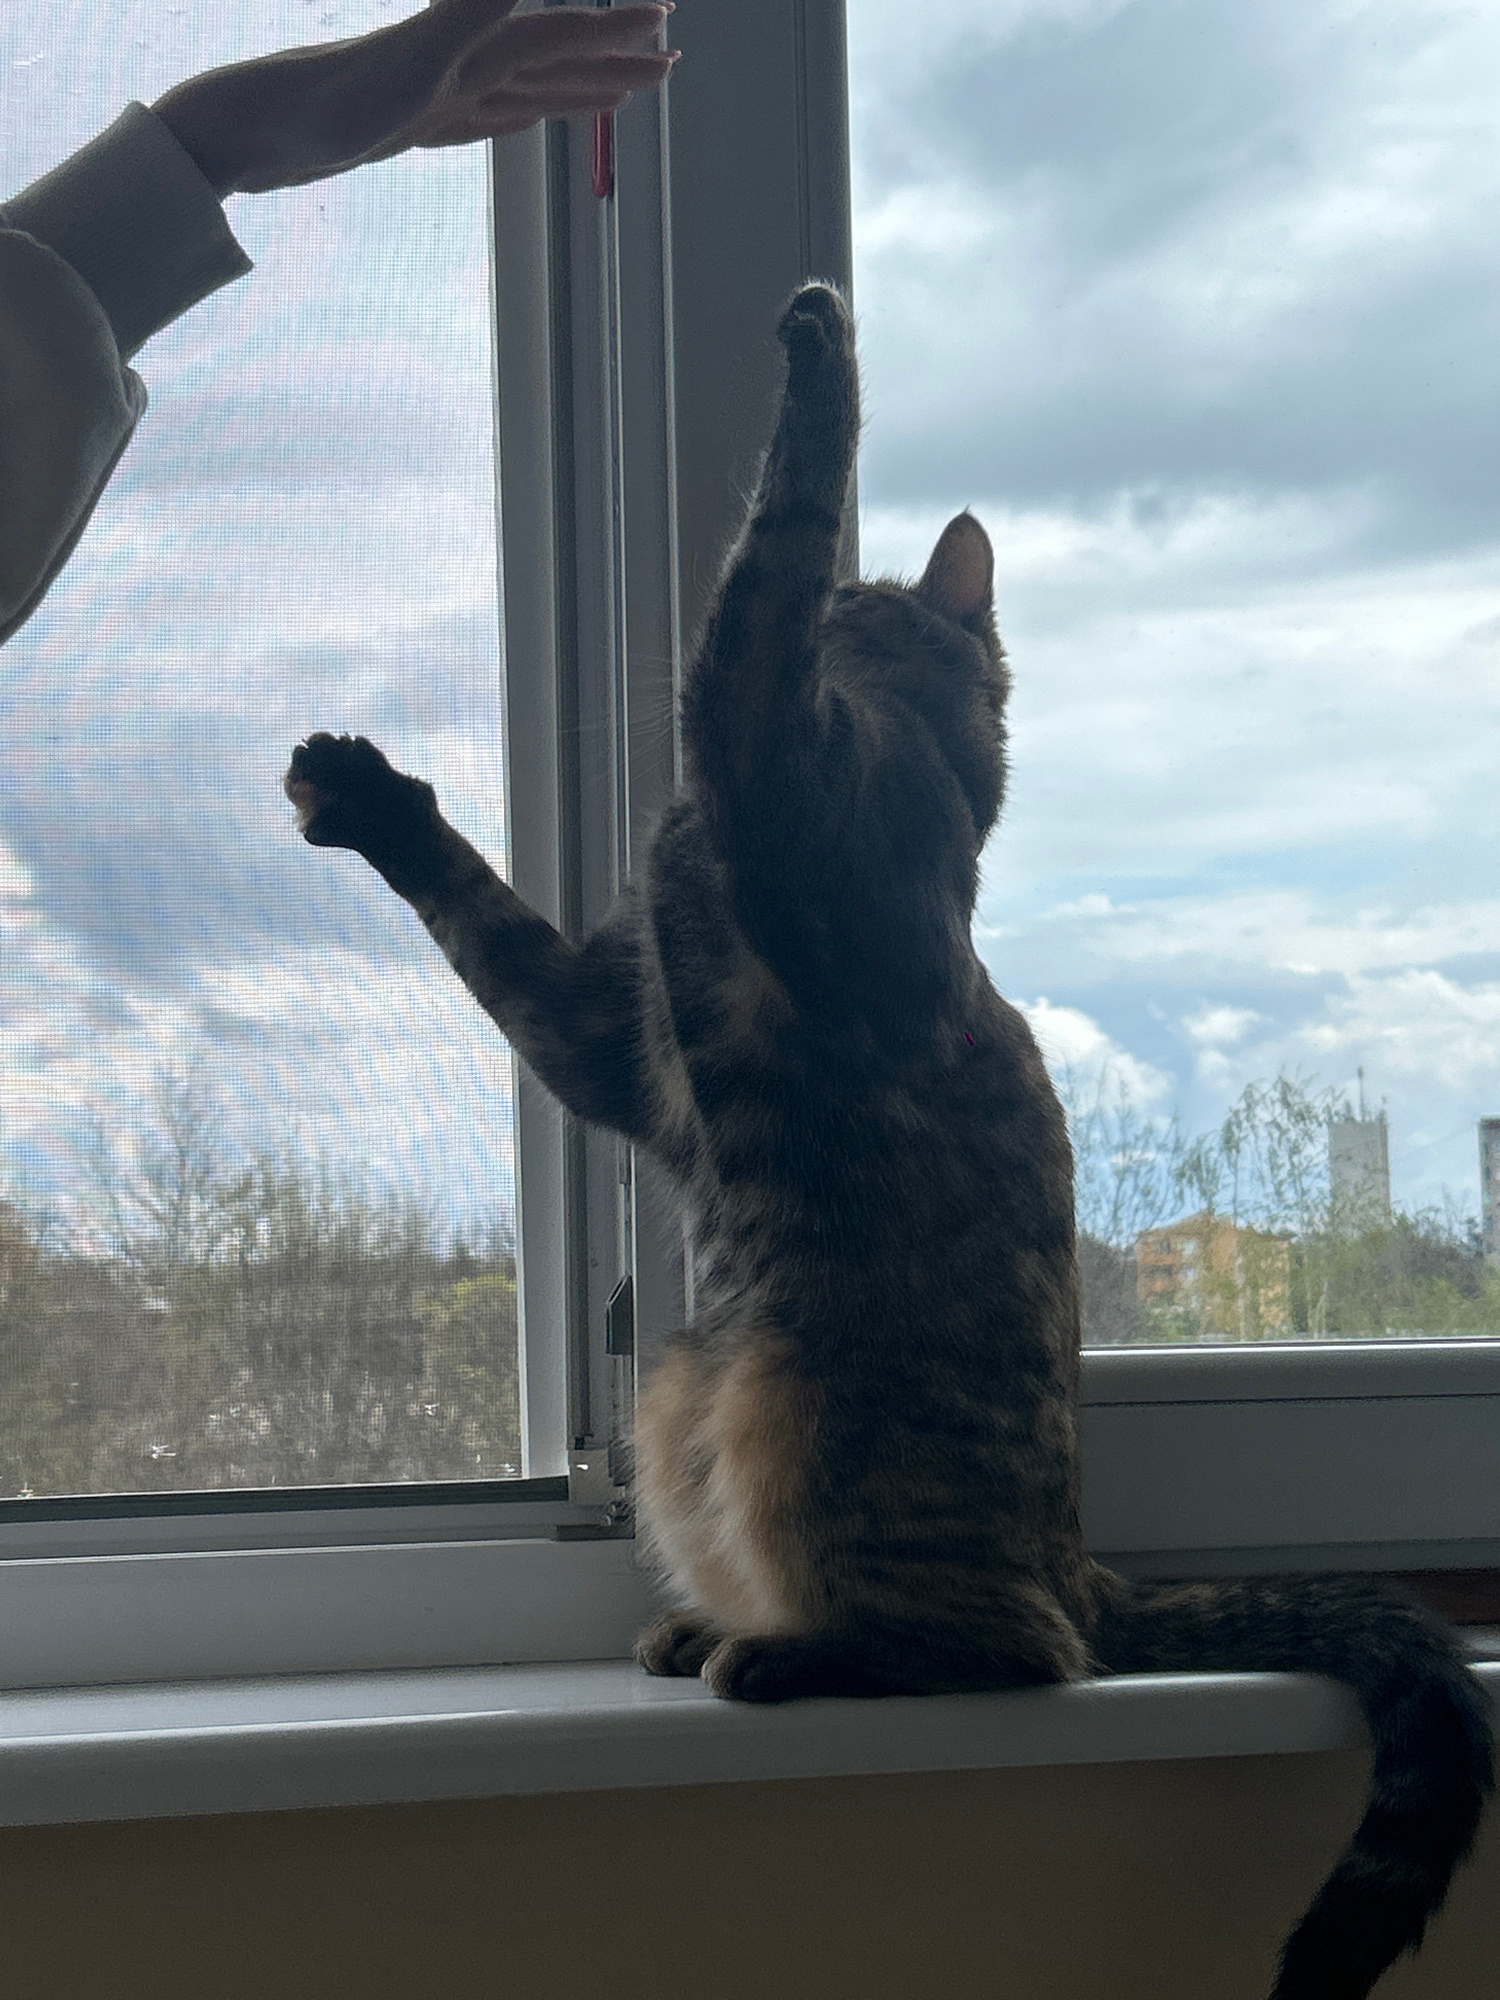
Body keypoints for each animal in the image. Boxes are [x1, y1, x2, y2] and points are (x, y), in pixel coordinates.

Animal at [284, 282, 1491, 2000]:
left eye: (869, 607)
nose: (870, 618)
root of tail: (1090, 1570)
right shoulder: (617, 1044)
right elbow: (490, 925)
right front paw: (370, 799)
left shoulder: (759, 759)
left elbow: (758, 574)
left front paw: (821, 347)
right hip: (683, 1380)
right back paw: (706, 1631)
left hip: (791, 1395)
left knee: (1021, 1656)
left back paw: (774, 1656)